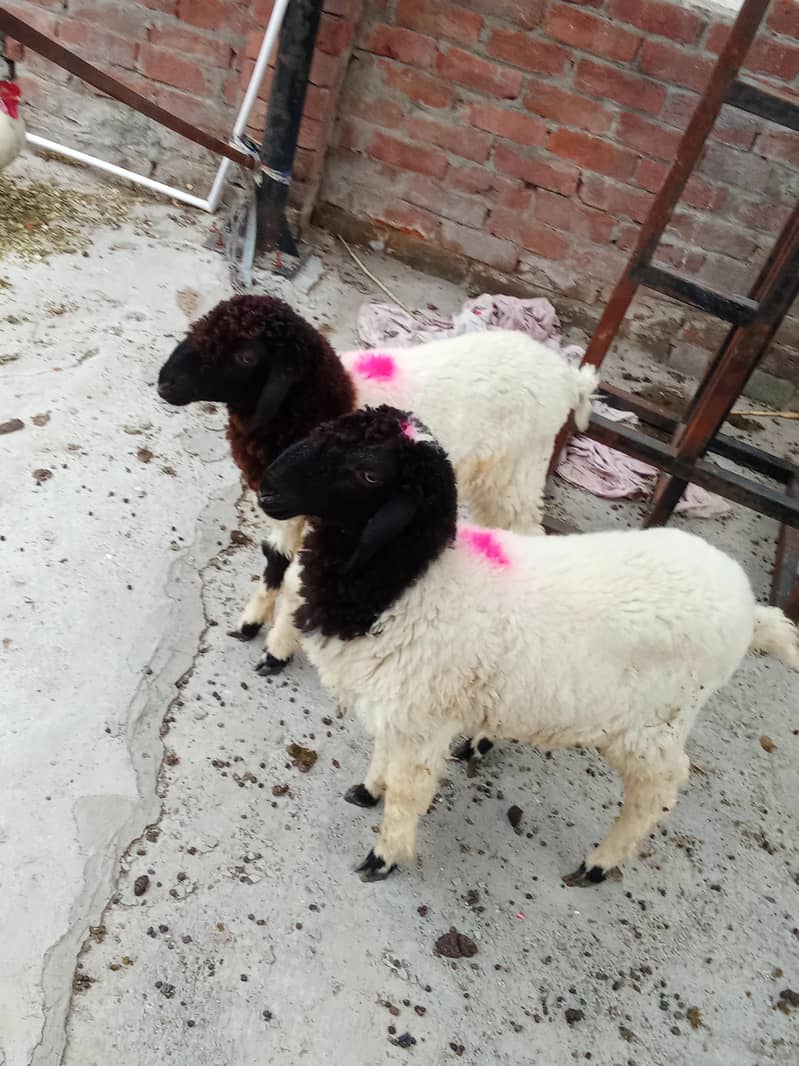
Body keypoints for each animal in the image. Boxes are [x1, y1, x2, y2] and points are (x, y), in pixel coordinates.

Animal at [158, 294, 598, 680]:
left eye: (245, 356)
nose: (164, 383)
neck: (328, 398)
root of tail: (568, 377)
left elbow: (297, 579)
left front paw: (277, 650)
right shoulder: (286, 503)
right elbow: (276, 558)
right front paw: (251, 622)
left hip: (518, 472)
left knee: (527, 527)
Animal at [258, 404, 799, 884]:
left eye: (369, 474)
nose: (266, 487)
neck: (408, 583)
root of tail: (749, 608)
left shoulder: (422, 720)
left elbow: (409, 792)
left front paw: (384, 856)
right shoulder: (400, 710)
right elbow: (383, 756)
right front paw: (370, 789)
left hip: (655, 725)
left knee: (660, 789)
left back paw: (598, 864)